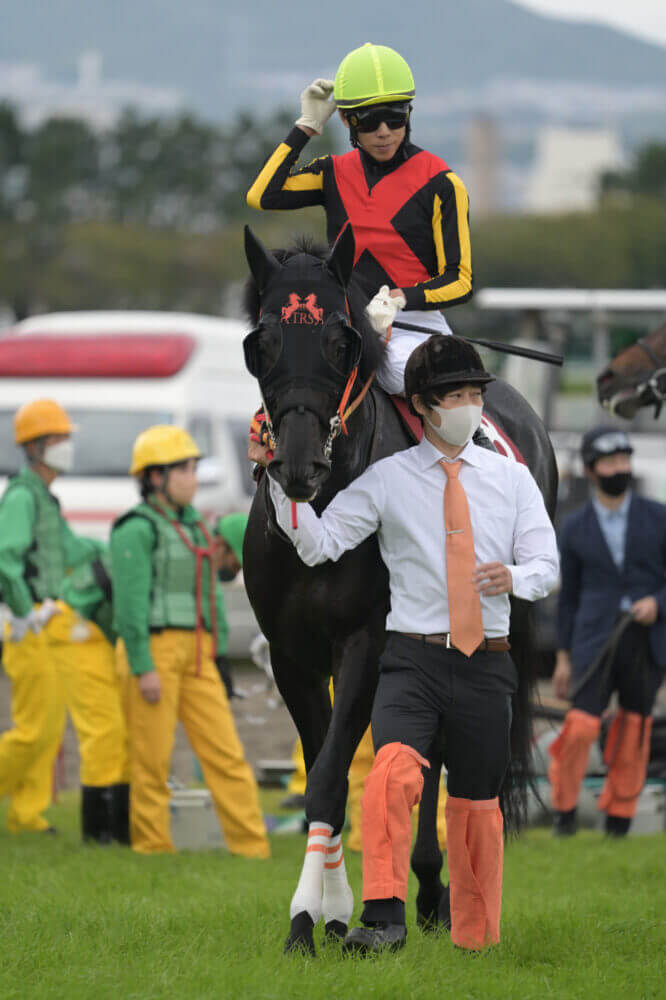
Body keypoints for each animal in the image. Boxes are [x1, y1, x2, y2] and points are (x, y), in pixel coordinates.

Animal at [240, 225, 556, 952]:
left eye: (342, 339)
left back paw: (439, 892)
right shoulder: (291, 655)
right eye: (261, 341)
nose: (297, 465)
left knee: (445, 752)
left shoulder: (368, 641)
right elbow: (322, 768)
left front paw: (308, 917)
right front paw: (329, 912)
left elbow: (331, 778)